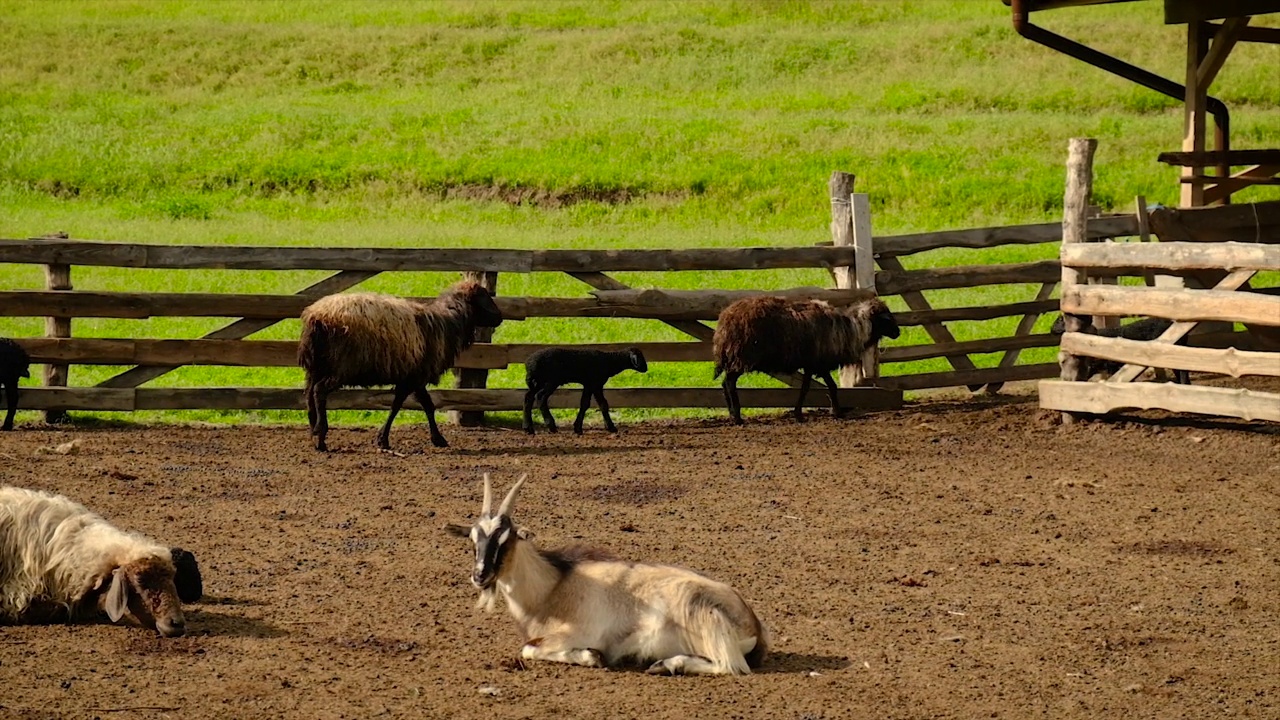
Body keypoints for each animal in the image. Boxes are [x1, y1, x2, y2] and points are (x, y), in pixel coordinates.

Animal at [450, 474, 768, 671]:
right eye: (473, 540)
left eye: (506, 540)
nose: (480, 576)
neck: (553, 587)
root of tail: (753, 623)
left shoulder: (580, 632)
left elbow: (528, 649)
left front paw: (590, 656)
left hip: (704, 616)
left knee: (731, 666)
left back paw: (668, 665)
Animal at [711, 294, 901, 422]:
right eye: (887, 318)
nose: (898, 333)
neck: (851, 330)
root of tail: (726, 319)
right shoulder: (819, 363)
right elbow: (830, 386)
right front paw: (836, 412)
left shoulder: (811, 364)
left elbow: (807, 388)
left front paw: (799, 413)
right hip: (742, 357)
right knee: (729, 383)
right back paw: (737, 417)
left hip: (736, 359)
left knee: (725, 383)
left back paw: (731, 414)